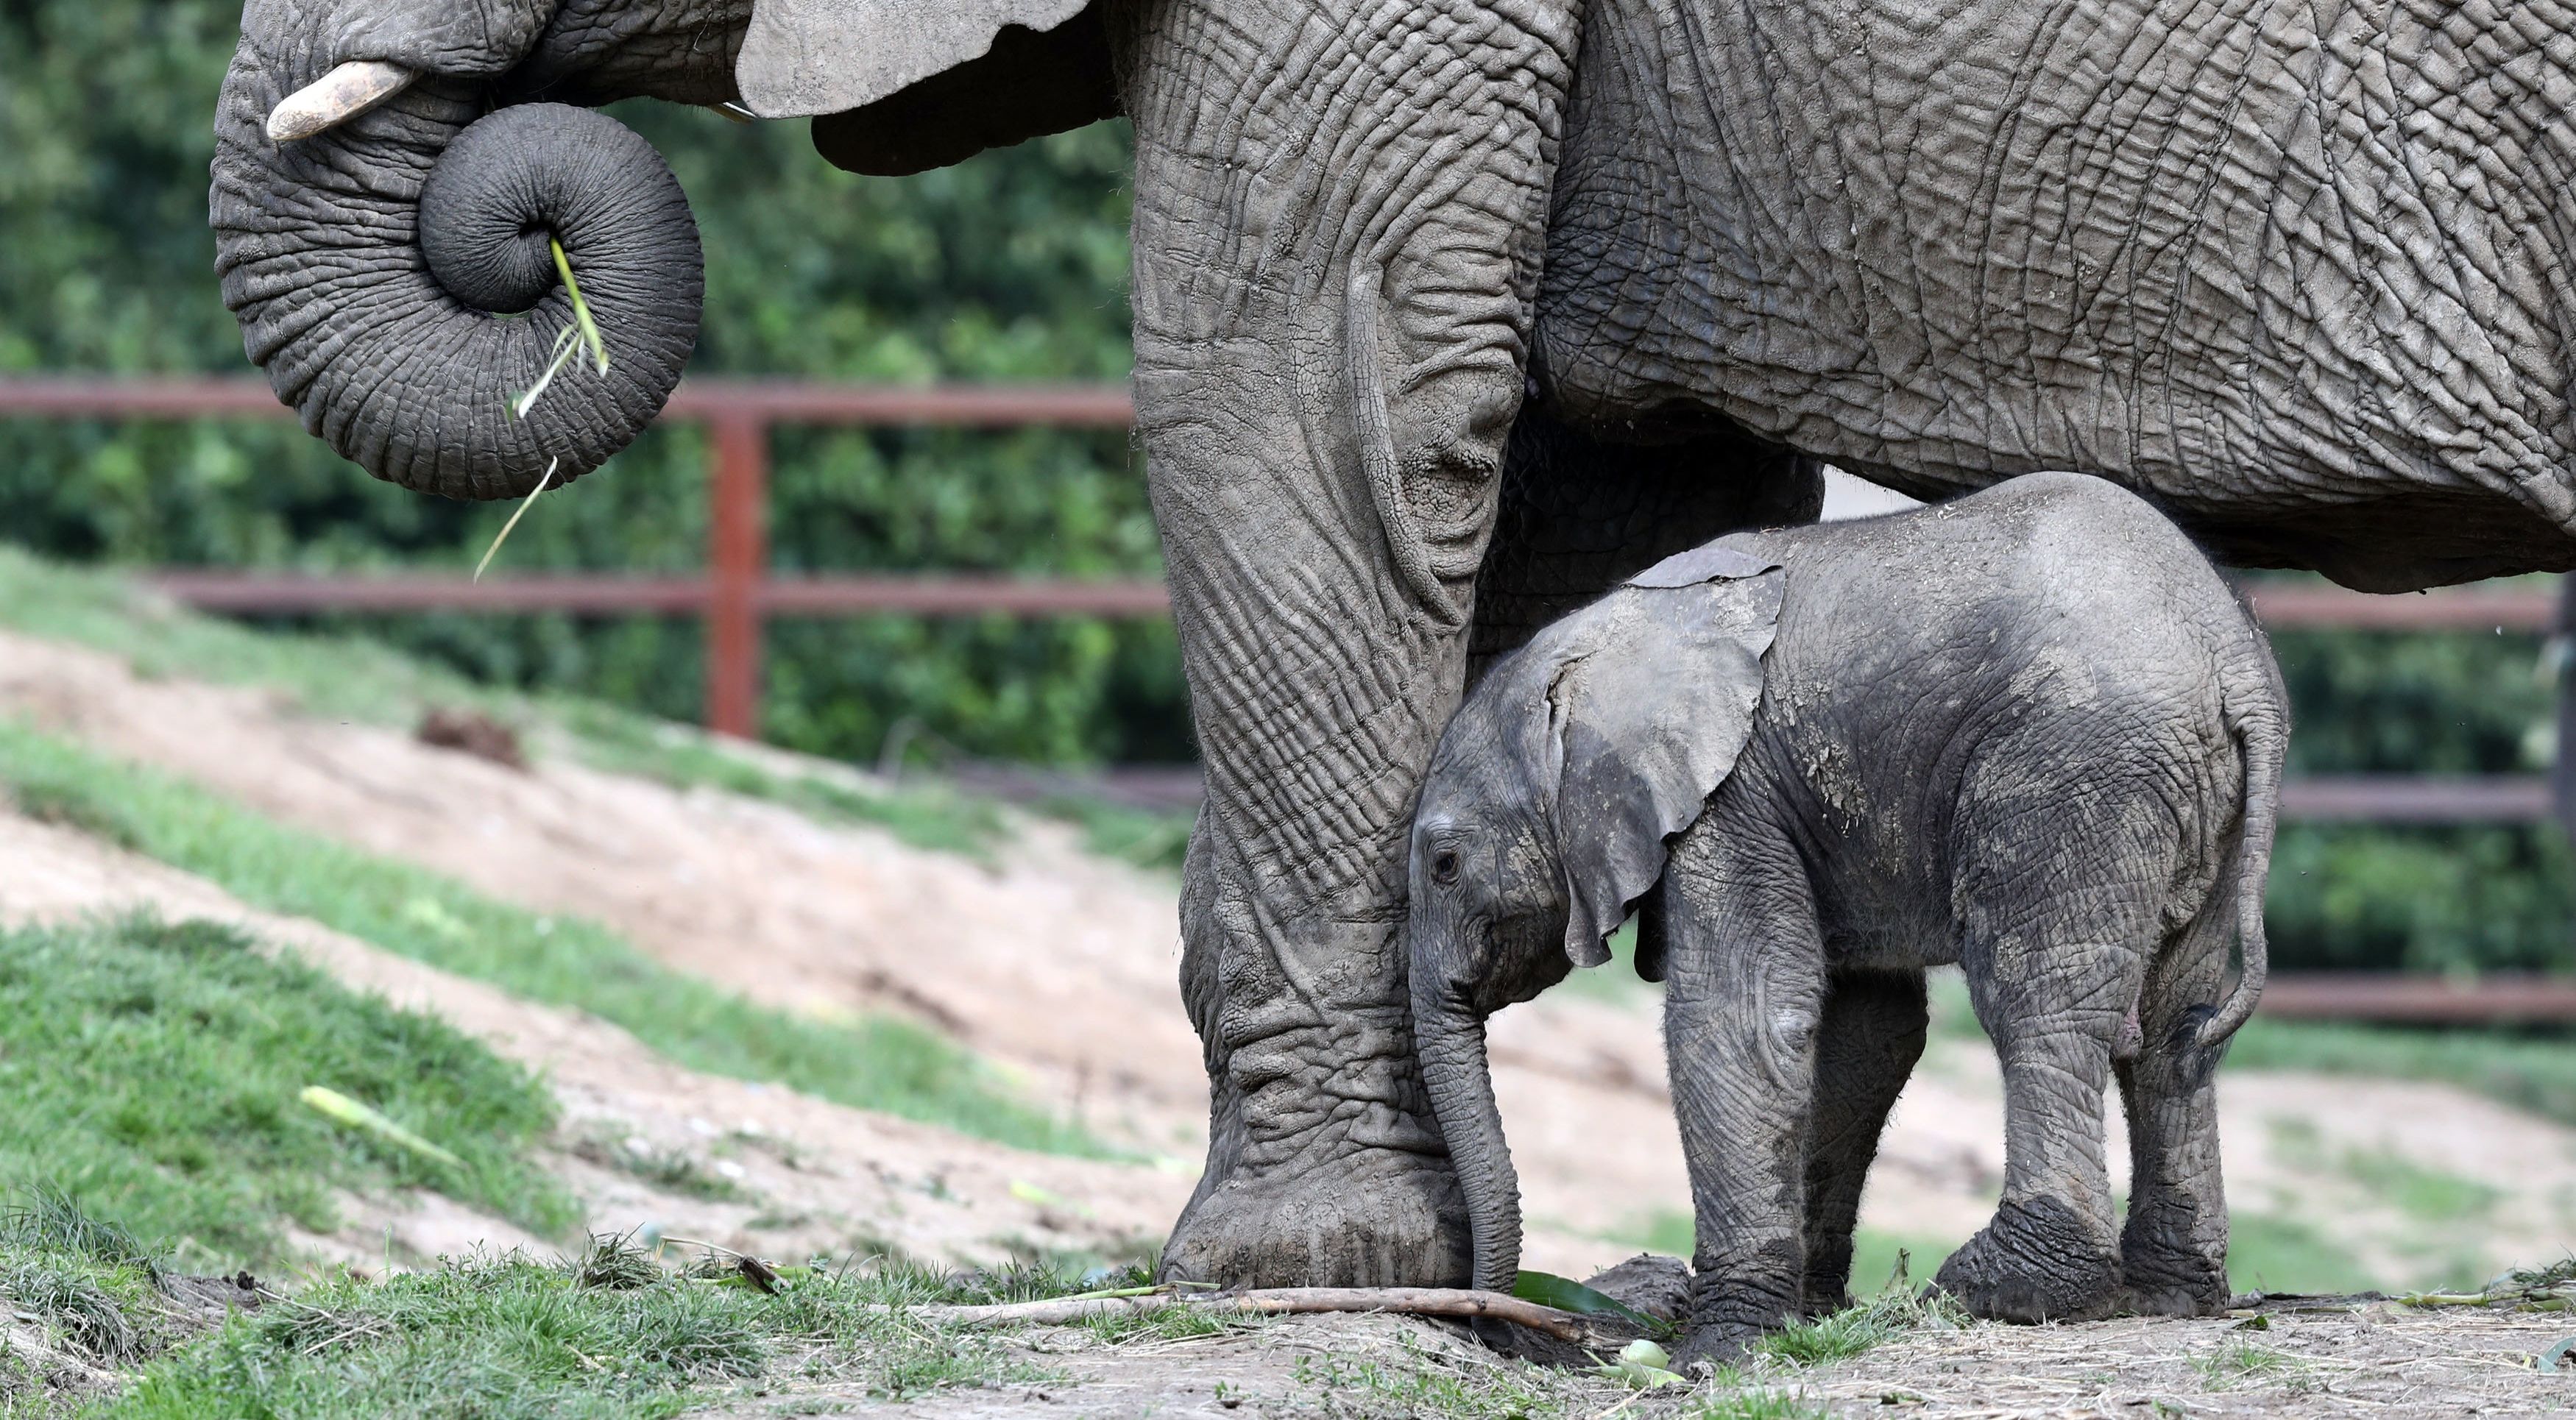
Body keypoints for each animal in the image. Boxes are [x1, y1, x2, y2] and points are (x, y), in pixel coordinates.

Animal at [1422, 471, 2287, 1360]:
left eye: (1444, 864)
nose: (1501, 1324)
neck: (1590, 647)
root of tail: (2233, 661)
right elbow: (1867, 1035)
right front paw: (1805, 1309)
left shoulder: (1728, 796)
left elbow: (1745, 1016)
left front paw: (1717, 1348)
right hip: (2196, 796)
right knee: (2176, 1029)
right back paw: (2168, 1293)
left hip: (2074, 768)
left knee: (2038, 1003)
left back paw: (2000, 1289)